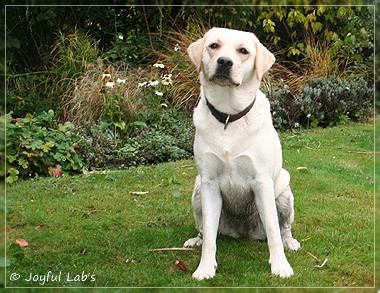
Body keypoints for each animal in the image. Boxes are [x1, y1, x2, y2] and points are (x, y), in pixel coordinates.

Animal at [183, 28, 302, 280]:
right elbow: (209, 238)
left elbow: (273, 231)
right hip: (197, 191)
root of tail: (243, 231)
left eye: (243, 51)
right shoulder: (208, 183)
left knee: (283, 227)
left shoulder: (262, 182)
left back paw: (290, 242)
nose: (224, 62)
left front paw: (280, 266)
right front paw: (205, 268)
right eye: (214, 46)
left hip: (284, 192)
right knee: (205, 230)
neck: (229, 116)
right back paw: (195, 240)